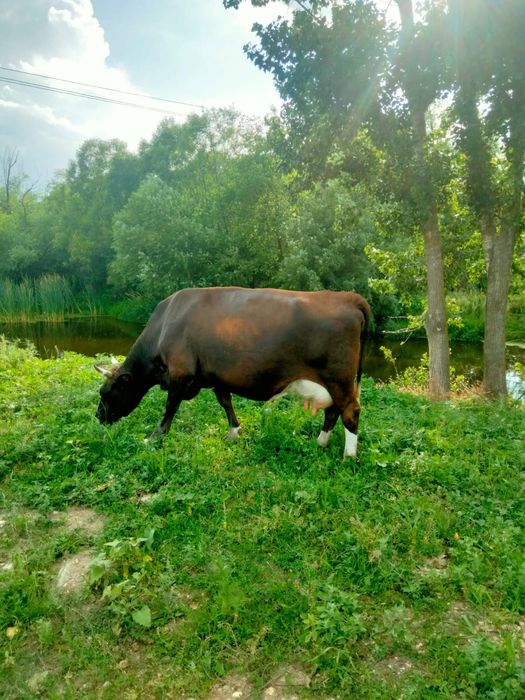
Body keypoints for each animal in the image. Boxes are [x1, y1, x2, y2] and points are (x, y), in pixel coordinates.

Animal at [95, 287, 371, 458]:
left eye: (105, 393)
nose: (98, 416)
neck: (165, 325)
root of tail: (348, 298)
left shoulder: (181, 374)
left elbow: (170, 407)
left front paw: (155, 437)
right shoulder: (217, 376)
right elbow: (225, 402)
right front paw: (234, 432)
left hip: (339, 380)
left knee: (350, 411)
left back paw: (348, 455)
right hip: (334, 384)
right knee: (333, 411)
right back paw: (320, 443)